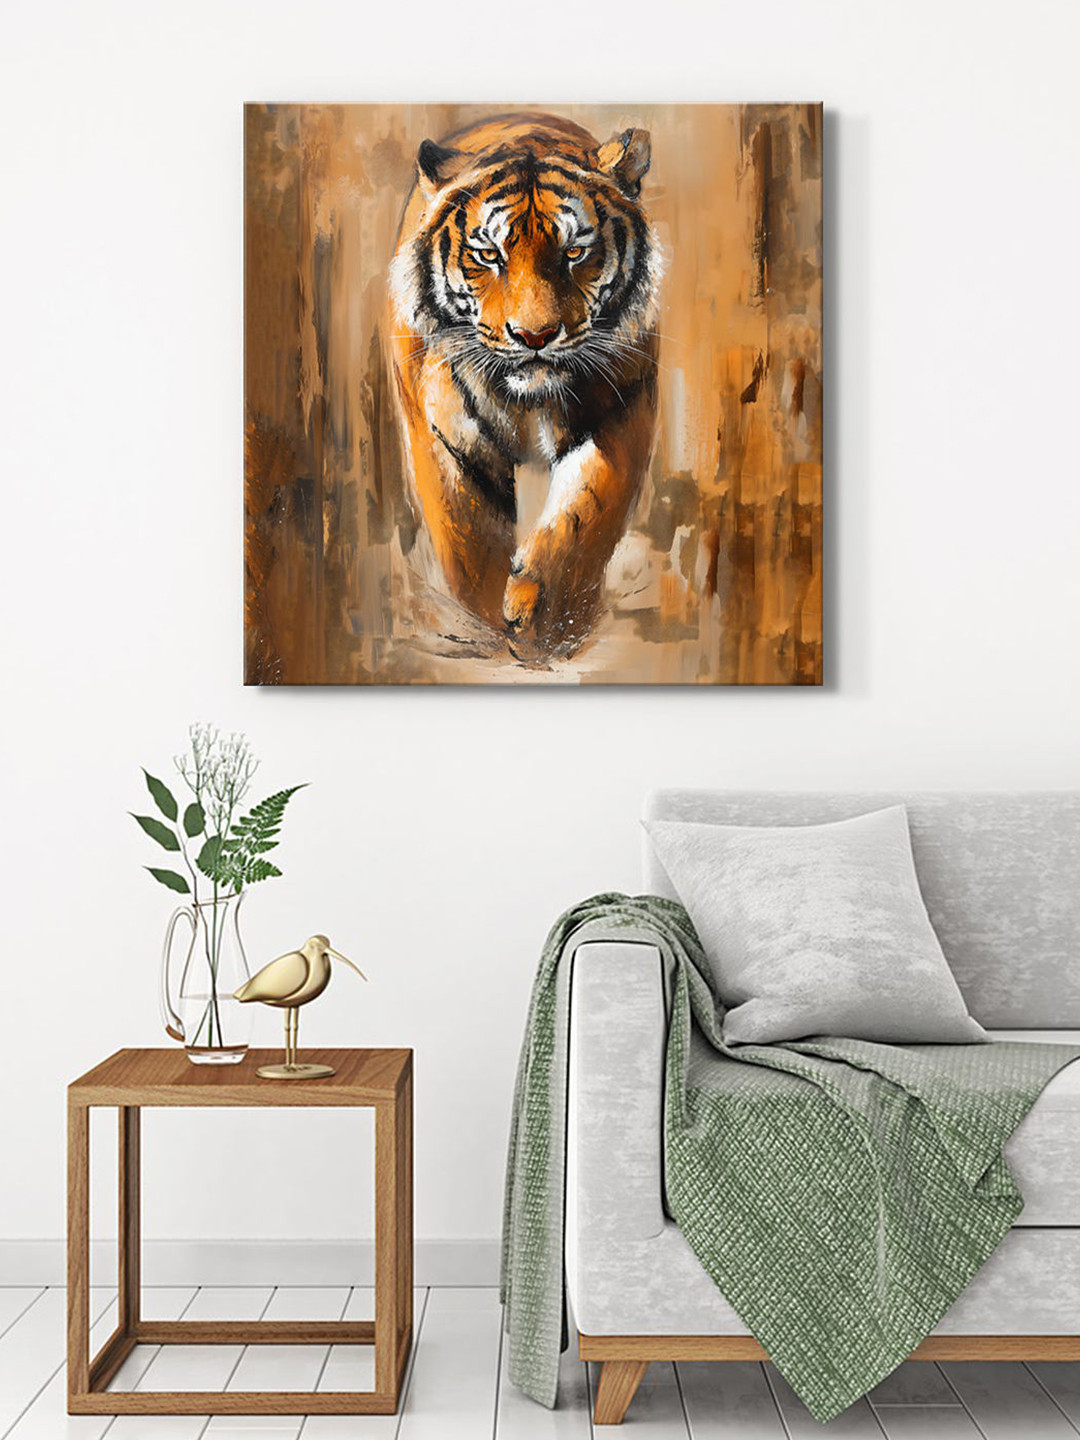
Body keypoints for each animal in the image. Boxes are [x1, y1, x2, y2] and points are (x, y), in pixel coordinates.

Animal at [388, 112, 661, 662]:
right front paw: (493, 624)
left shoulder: (621, 411)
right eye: (488, 255)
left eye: (575, 252)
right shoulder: (444, 438)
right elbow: (469, 542)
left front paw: (545, 621)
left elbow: (584, 516)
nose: (534, 336)